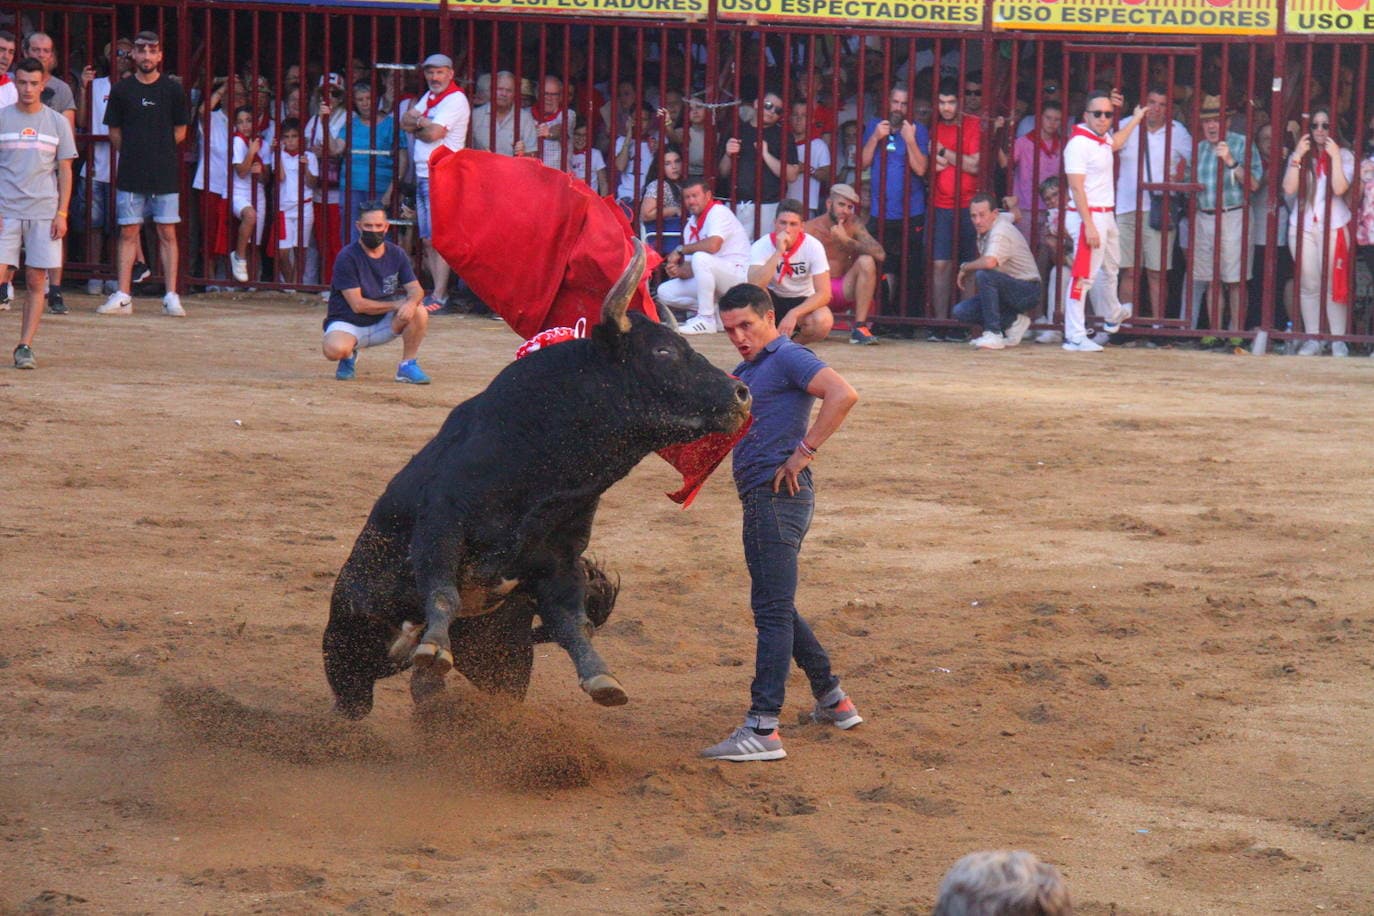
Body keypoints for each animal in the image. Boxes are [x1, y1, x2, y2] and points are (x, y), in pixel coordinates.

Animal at [321, 241, 752, 714]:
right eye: (663, 352)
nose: (741, 394)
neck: (542, 469)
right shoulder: (440, 524)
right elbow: (442, 590)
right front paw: (434, 646)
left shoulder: (559, 561)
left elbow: (572, 623)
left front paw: (603, 679)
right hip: (345, 643)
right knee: (355, 698)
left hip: (501, 664)